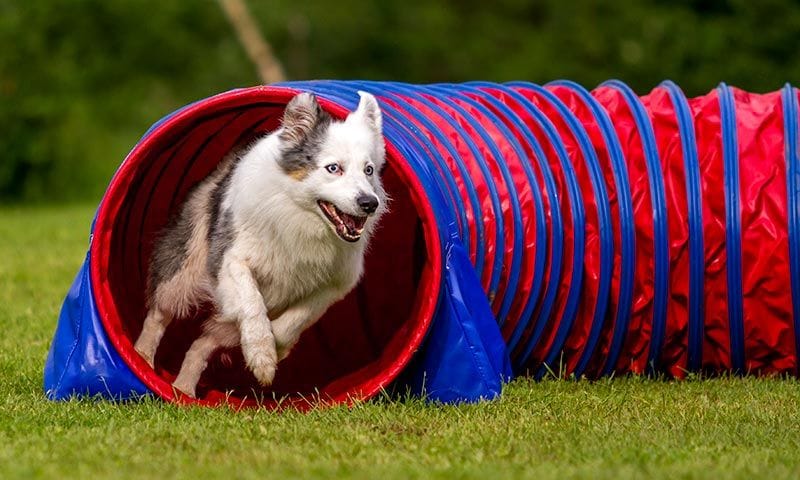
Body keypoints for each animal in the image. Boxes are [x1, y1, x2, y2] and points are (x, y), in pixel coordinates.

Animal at [134, 90, 388, 398]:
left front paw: (277, 349)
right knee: (159, 313)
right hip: (183, 270)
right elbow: (251, 300)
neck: (301, 216)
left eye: (369, 170)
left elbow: (298, 318)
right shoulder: (230, 258)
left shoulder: (334, 283)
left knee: (201, 344)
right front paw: (263, 355)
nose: (369, 203)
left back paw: (183, 389)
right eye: (333, 168)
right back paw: (142, 359)